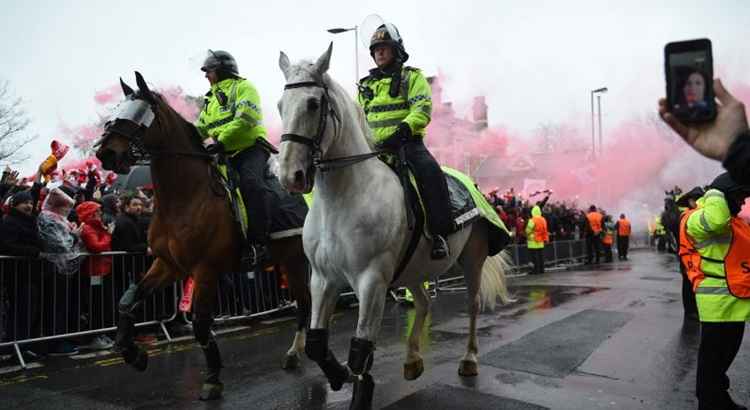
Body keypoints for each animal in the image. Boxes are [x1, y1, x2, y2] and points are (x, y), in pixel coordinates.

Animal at [94, 73, 312, 400]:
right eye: (119, 107)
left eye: (138, 112)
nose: (105, 153)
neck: (185, 197)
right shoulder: (168, 265)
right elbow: (127, 300)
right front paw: (132, 352)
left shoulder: (205, 270)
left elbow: (200, 324)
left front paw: (212, 378)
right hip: (288, 260)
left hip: (298, 259)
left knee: (307, 302)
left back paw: (297, 352)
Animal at [280, 43, 516, 408]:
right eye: (281, 105)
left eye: (313, 103)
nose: (290, 175)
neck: (343, 200)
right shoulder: (322, 279)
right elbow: (318, 344)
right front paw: (339, 374)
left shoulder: (371, 281)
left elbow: (361, 349)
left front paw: (358, 387)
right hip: (414, 268)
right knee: (424, 302)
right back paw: (412, 360)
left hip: (472, 259)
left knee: (472, 305)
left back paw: (469, 360)